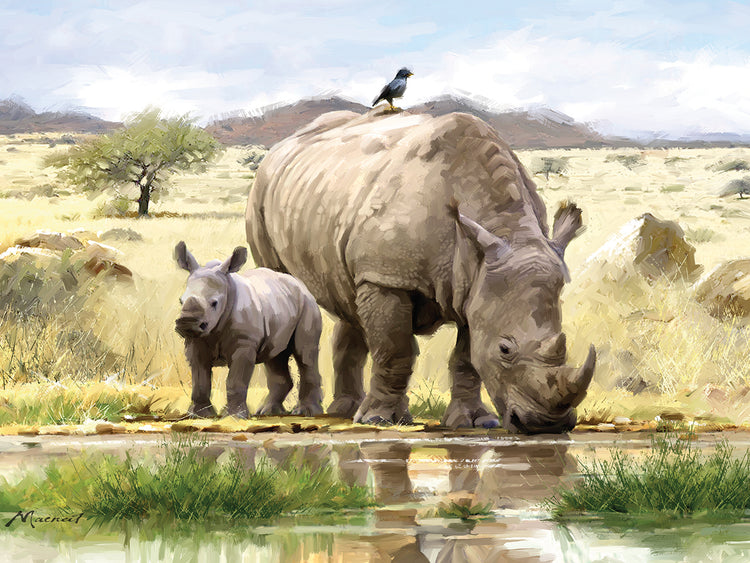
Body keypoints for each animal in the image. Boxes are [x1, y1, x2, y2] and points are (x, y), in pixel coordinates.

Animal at [174, 241, 323, 418]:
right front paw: (198, 415)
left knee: (305, 353)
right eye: (180, 301)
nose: (187, 323)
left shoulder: (244, 343)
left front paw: (234, 416)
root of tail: (301, 285)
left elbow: (235, 381)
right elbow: (200, 381)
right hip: (279, 305)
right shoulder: (196, 342)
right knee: (275, 356)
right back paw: (267, 412)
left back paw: (306, 412)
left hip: (307, 304)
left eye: (214, 303)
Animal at [246, 109, 596, 433]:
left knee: (350, 298)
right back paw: (307, 412)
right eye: (505, 349)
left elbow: (466, 358)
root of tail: (284, 145)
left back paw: (348, 410)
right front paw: (379, 420)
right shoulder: (387, 276)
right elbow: (395, 350)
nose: (546, 425)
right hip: (261, 193)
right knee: (283, 286)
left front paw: (474, 422)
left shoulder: (475, 286)